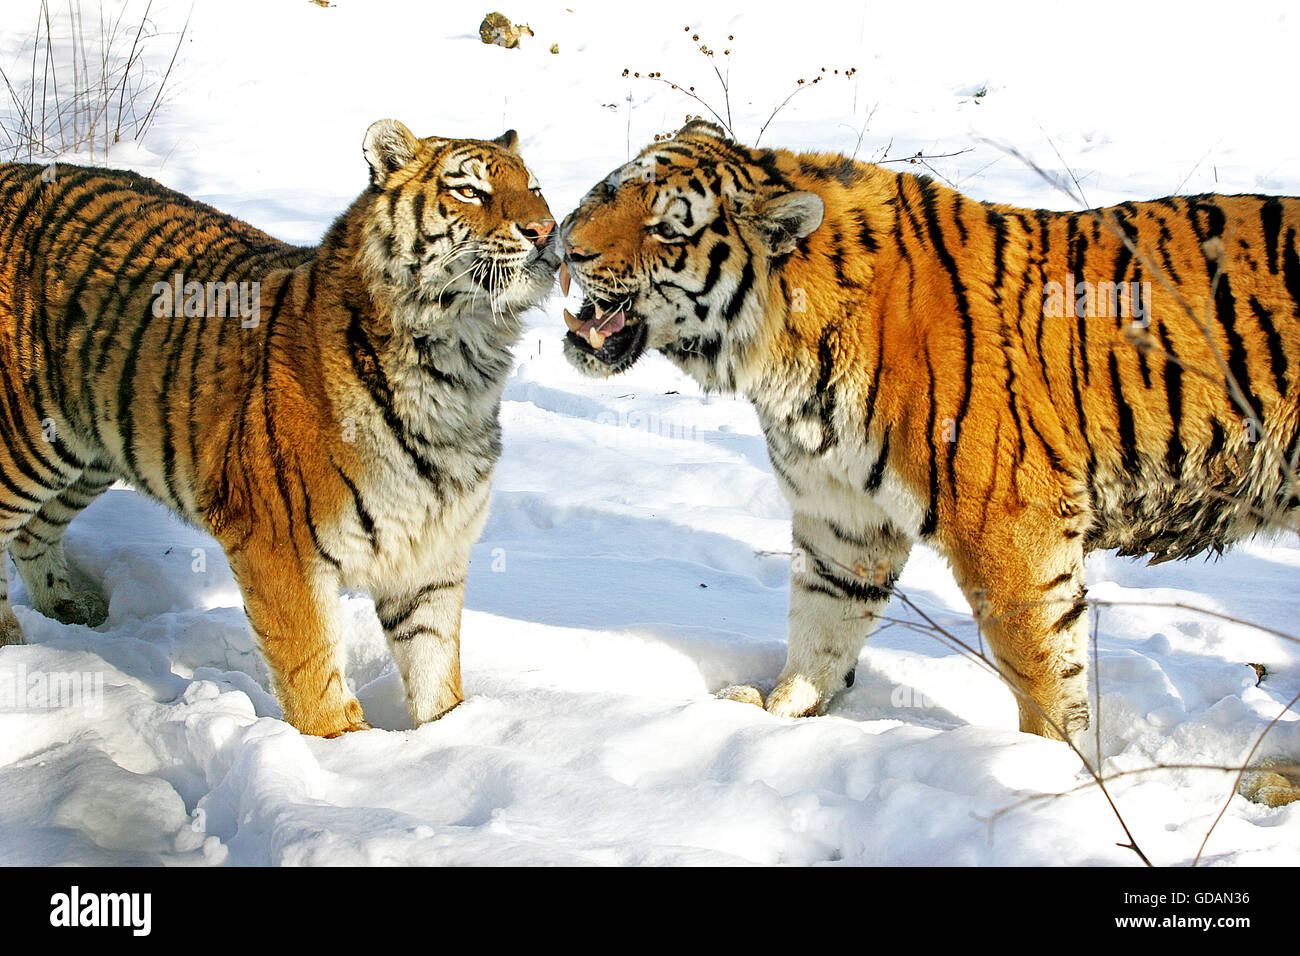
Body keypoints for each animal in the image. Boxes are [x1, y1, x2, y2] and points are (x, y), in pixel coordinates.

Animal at [0, 115, 556, 738]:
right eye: (470, 191)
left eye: (534, 187)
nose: (545, 230)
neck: (460, 366)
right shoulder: (277, 542)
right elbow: (311, 669)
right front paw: (346, 750)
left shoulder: (429, 551)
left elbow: (434, 665)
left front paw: (449, 738)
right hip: (23, 447)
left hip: (87, 449)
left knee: (33, 533)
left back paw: (70, 610)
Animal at [556, 119, 1300, 743]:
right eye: (608, 190)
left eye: (668, 231)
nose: (566, 245)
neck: (781, 359)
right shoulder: (841, 517)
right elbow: (822, 625)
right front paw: (779, 712)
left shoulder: (1013, 528)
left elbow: (1043, 675)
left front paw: (1051, 768)